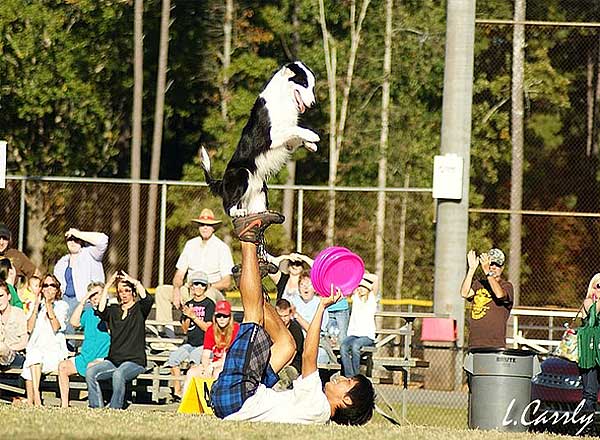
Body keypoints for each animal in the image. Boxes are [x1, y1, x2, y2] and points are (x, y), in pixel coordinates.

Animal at [200, 61, 318, 217]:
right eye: (304, 84)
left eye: (312, 86)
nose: (313, 104)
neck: (283, 99)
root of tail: (221, 182)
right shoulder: (269, 137)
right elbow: (294, 129)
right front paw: (313, 136)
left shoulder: (287, 143)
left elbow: (295, 134)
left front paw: (311, 145)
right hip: (242, 173)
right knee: (228, 207)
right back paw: (239, 212)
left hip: (260, 192)